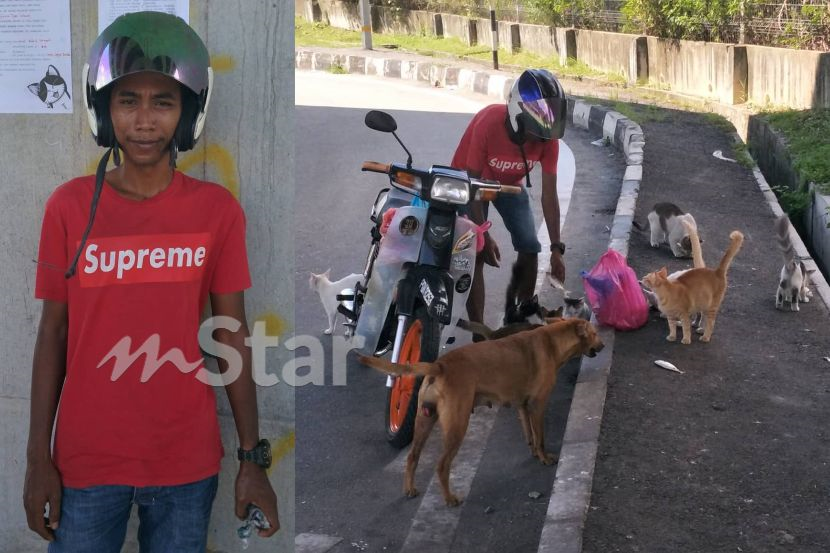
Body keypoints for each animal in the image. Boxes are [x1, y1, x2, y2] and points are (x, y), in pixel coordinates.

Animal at [360, 320, 604, 504]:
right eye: (594, 333)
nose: (602, 346)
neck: (553, 341)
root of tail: (439, 365)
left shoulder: (523, 406)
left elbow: (530, 435)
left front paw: (534, 452)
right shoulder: (537, 404)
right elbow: (540, 437)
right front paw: (544, 458)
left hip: (423, 421)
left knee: (412, 457)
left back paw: (410, 488)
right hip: (457, 425)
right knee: (441, 465)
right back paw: (449, 498)